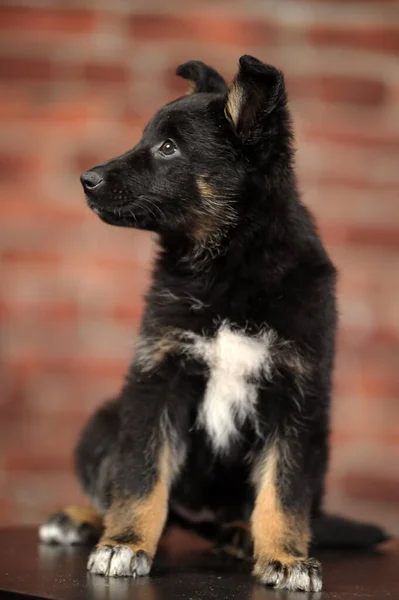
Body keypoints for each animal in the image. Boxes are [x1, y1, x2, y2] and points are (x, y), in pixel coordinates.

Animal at [39, 57, 390, 596]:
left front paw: (285, 557)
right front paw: (125, 544)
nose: (86, 179)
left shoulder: (296, 394)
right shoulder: (157, 378)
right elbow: (140, 476)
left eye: (168, 147)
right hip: (103, 421)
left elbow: (284, 492)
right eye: (147, 138)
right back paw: (83, 521)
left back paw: (241, 534)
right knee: (137, 494)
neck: (224, 265)